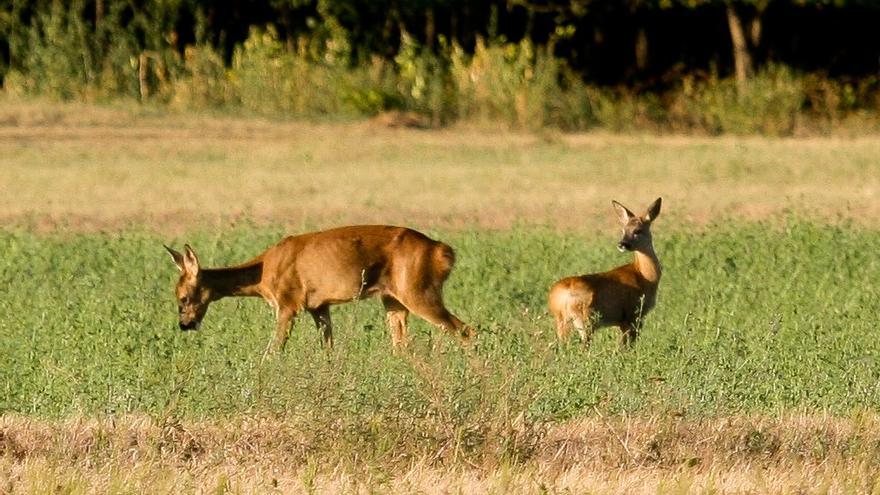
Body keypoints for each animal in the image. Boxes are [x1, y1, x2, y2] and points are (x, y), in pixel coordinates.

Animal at [168, 227, 478, 350]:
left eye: (183, 298)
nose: (185, 325)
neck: (264, 271)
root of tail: (443, 252)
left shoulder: (288, 302)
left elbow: (275, 347)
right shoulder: (319, 306)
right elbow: (327, 347)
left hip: (418, 290)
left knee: (466, 329)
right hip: (394, 300)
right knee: (402, 344)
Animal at [548, 198, 664, 348]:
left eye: (638, 230)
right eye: (623, 230)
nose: (622, 244)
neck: (644, 276)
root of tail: (563, 293)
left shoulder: (622, 321)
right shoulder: (633, 314)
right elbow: (628, 346)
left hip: (561, 319)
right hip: (585, 318)